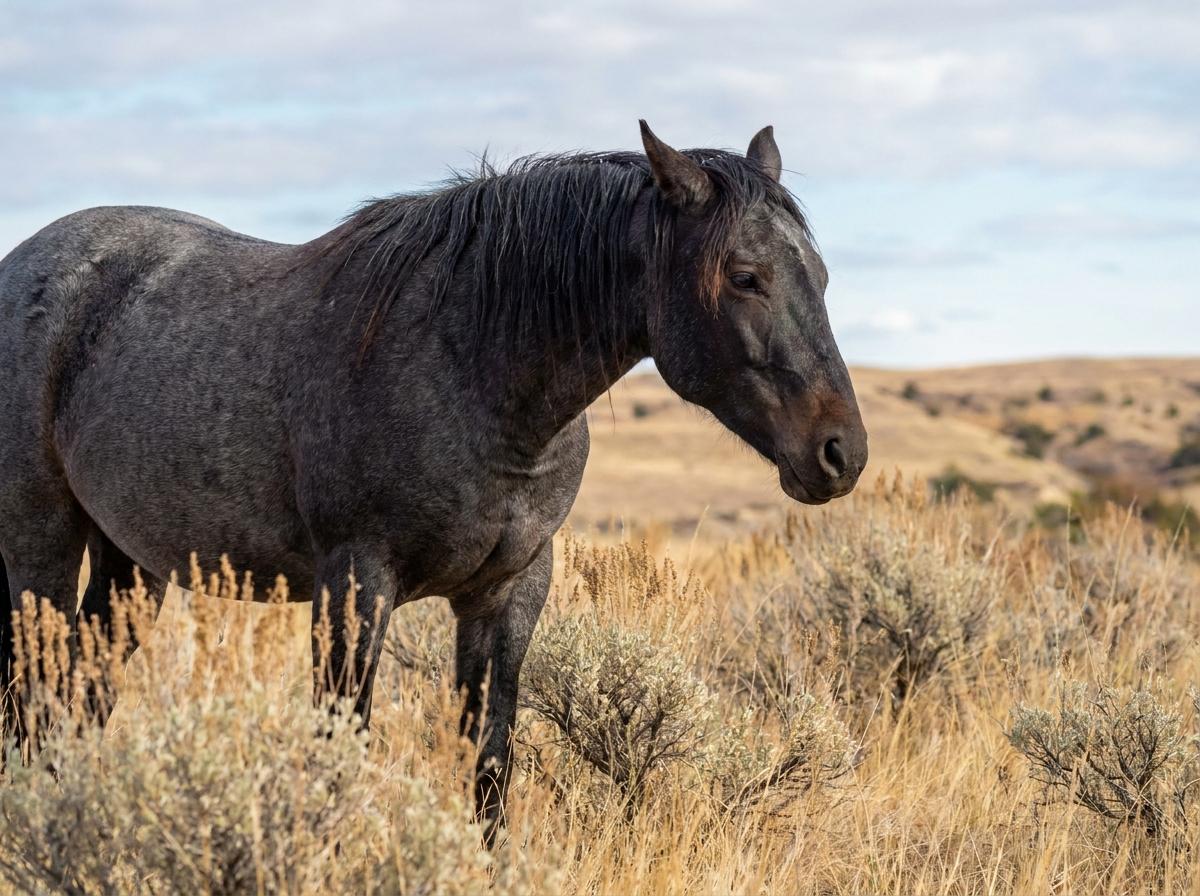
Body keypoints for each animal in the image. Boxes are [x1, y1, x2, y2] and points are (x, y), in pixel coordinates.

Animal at [0, 120, 867, 834]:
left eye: (822, 275)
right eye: (745, 276)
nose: (842, 453)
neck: (472, 366)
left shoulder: (511, 591)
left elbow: (489, 760)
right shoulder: (356, 583)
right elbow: (340, 747)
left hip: (131, 565)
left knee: (79, 696)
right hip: (41, 550)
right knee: (30, 697)